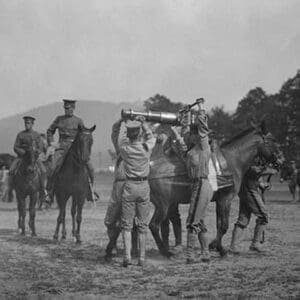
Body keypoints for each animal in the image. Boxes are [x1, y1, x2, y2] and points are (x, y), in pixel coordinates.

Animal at [149, 123, 282, 256]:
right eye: (273, 140)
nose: (281, 160)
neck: (232, 160)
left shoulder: (219, 200)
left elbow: (219, 225)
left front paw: (218, 247)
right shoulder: (226, 199)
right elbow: (224, 226)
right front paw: (217, 247)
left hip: (167, 204)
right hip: (163, 205)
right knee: (154, 225)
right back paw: (165, 251)